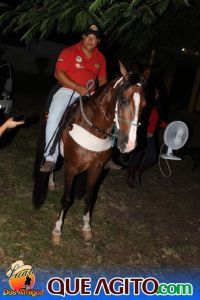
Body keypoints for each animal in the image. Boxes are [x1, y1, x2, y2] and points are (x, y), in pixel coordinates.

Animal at [32, 62, 145, 244]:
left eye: (145, 104)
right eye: (124, 100)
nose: (130, 144)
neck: (93, 127)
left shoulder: (96, 170)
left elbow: (89, 198)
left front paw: (86, 228)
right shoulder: (71, 168)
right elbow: (66, 199)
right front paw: (57, 230)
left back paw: (51, 182)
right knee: (51, 158)